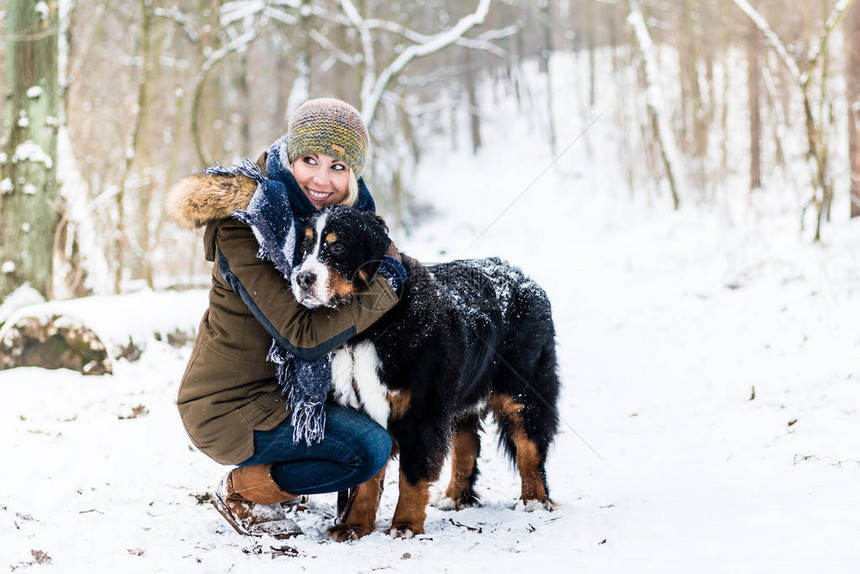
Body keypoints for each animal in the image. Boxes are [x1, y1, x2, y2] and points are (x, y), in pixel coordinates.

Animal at [292, 208, 560, 544]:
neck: (368, 331)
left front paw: (405, 525)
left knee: (529, 446)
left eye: (338, 247)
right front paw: (354, 526)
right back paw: (454, 497)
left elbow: (413, 474)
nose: (302, 278)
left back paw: (534, 500)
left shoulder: (421, 412)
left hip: (523, 391)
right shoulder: (369, 412)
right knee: (467, 444)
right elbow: (367, 481)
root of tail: (521, 277)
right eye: (305, 247)